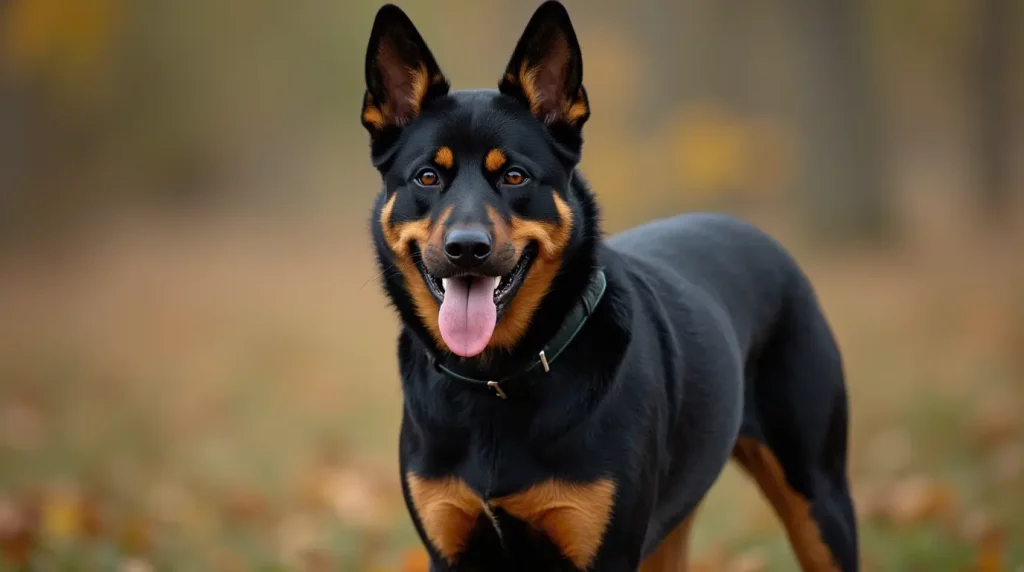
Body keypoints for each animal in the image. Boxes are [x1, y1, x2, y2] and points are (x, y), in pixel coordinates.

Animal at [360, 2, 856, 568]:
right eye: (427, 177)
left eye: (514, 176)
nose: (467, 248)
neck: (496, 379)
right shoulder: (448, 544)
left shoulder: (606, 547)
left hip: (819, 499)